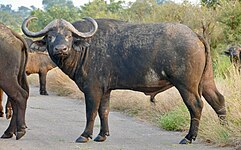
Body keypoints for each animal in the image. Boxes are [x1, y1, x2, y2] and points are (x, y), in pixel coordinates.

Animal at [21, 16, 227, 144]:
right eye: (50, 36)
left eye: (68, 35)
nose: (60, 49)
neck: (85, 49)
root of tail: (195, 35)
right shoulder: (105, 90)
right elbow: (104, 111)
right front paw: (102, 135)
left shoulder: (92, 89)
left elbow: (91, 112)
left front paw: (85, 135)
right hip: (206, 82)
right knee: (218, 100)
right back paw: (223, 129)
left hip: (186, 85)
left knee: (196, 106)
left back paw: (189, 137)